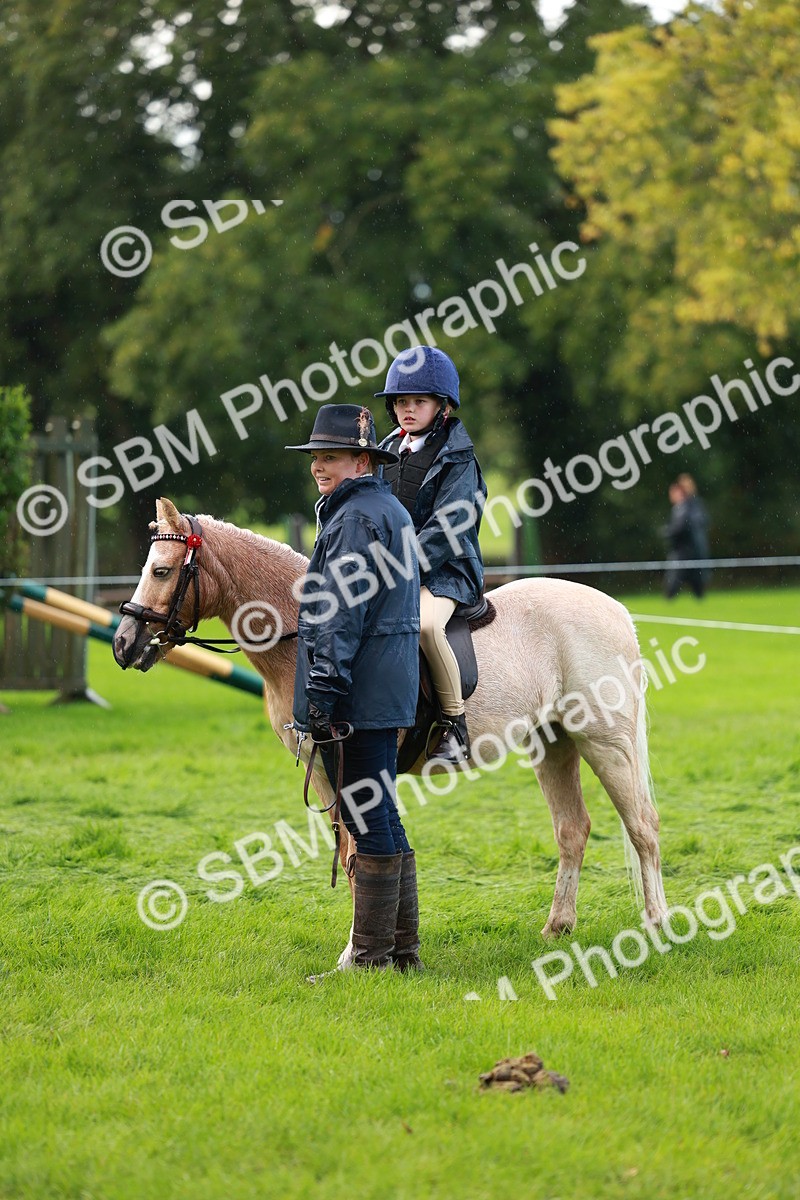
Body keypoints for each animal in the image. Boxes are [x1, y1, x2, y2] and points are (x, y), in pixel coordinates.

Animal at [113, 497, 669, 946]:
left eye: (161, 572)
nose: (122, 644)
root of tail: (616, 611)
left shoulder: (357, 769)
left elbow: (363, 856)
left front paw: (359, 952)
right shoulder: (324, 771)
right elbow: (351, 859)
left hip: (604, 743)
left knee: (642, 826)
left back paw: (657, 925)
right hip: (554, 743)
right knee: (573, 829)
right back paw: (558, 927)